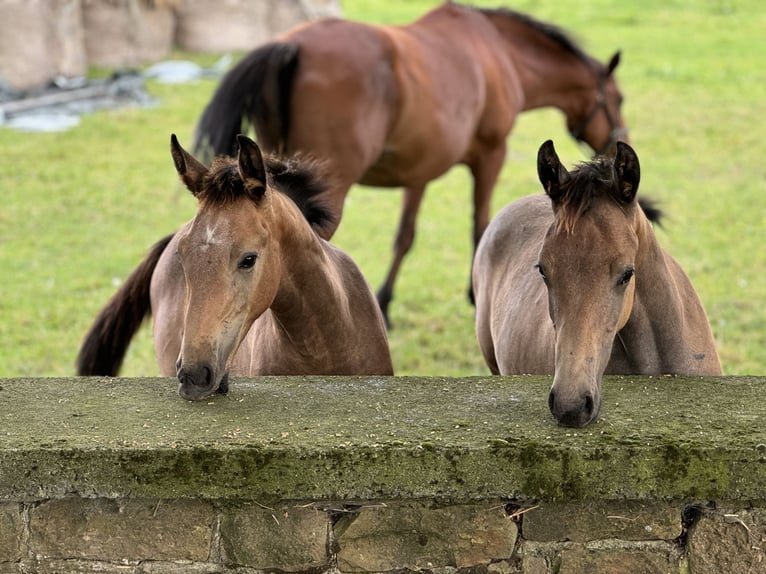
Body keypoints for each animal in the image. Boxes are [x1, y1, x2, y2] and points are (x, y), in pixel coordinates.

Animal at [192, 2, 632, 326]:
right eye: (618, 98)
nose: (618, 143)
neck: (498, 50)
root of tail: (293, 48)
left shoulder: (418, 174)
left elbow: (404, 236)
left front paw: (385, 302)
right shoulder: (491, 156)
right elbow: (480, 227)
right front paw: (475, 294)